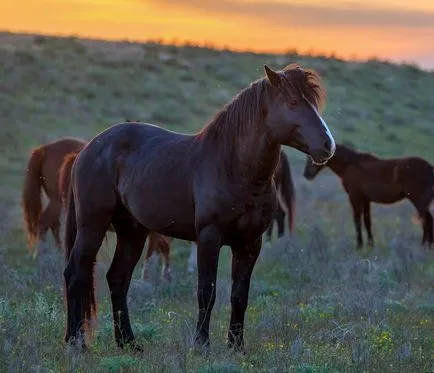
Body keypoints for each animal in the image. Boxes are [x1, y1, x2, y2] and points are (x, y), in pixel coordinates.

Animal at [63, 63, 336, 352]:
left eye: (315, 103)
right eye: (293, 101)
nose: (328, 145)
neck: (233, 167)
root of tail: (88, 148)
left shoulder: (250, 243)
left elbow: (240, 296)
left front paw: (236, 346)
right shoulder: (208, 238)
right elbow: (207, 292)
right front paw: (201, 344)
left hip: (132, 231)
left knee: (117, 279)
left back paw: (129, 343)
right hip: (93, 225)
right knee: (76, 273)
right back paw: (75, 342)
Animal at [302, 144, 434, 248]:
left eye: (311, 157)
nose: (307, 175)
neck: (350, 164)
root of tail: (430, 168)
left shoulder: (355, 197)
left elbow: (357, 220)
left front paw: (359, 245)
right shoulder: (365, 199)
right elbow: (367, 221)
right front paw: (370, 245)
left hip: (418, 201)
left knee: (426, 220)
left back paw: (424, 246)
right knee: (427, 220)